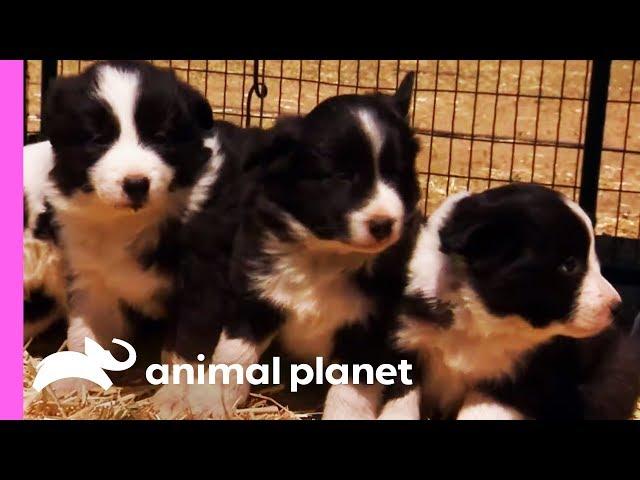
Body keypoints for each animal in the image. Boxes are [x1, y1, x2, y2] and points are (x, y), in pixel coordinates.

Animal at [26, 59, 216, 390]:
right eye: (98, 139)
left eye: (160, 137)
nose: (136, 184)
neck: (126, 222)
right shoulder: (91, 279)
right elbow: (85, 335)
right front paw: (75, 381)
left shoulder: (196, 284)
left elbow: (184, 348)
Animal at [149, 72, 420, 420]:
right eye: (342, 176)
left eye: (396, 174)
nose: (384, 224)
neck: (326, 254)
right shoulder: (255, 298)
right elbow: (233, 356)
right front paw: (210, 403)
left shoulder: (369, 328)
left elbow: (350, 394)